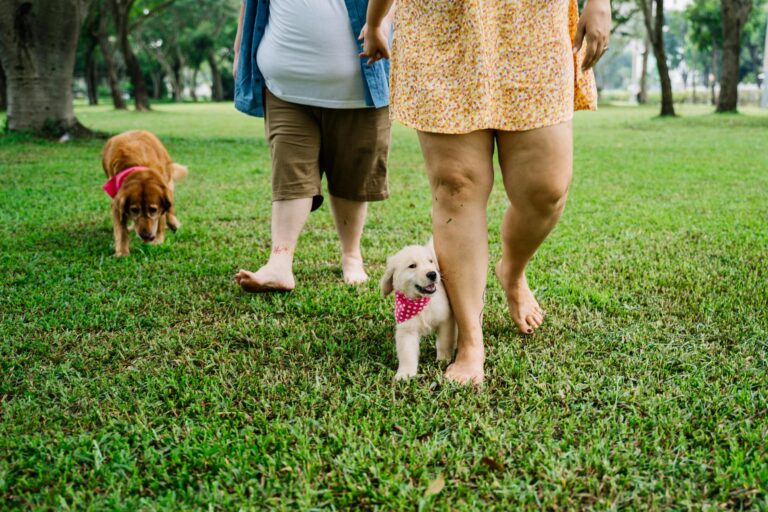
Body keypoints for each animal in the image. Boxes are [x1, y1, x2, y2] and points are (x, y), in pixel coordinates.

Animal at [380, 240, 456, 380]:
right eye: (412, 266)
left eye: (430, 261)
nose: (432, 274)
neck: (420, 302)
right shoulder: (406, 330)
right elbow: (407, 353)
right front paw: (405, 373)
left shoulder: (446, 320)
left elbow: (444, 342)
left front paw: (443, 360)